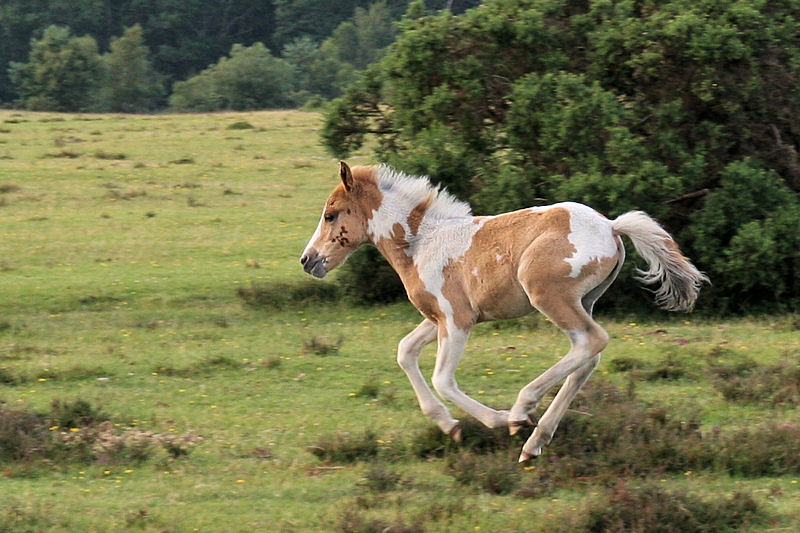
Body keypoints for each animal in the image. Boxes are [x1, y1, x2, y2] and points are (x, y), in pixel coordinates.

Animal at [300, 162, 708, 462]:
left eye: (331, 215)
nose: (308, 260)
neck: (421, 243)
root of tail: (610, 226)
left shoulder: (457, 320)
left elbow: (442, 379)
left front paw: (488, 421)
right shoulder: (438, 319)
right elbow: (405, 352)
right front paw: (447, 424)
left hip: (548, 294)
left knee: (589, 342)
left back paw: (520, 413)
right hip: (586, 300)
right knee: (587, 359)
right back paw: (534, 443)